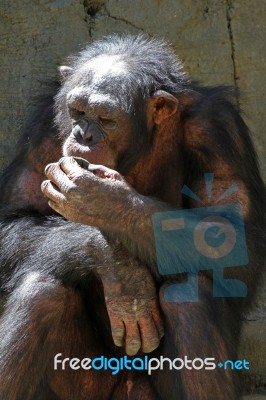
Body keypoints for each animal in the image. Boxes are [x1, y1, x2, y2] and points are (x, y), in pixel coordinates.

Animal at [0, 34, 264, 400]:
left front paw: (104, 201)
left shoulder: (218, 128)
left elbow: (233, 237)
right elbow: (14, 222)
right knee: (42, 294)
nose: (83, 135)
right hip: (88, 385)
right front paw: (119, 268)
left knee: (188, 295)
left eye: (105, 118)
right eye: (77, 111)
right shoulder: (42, 128)